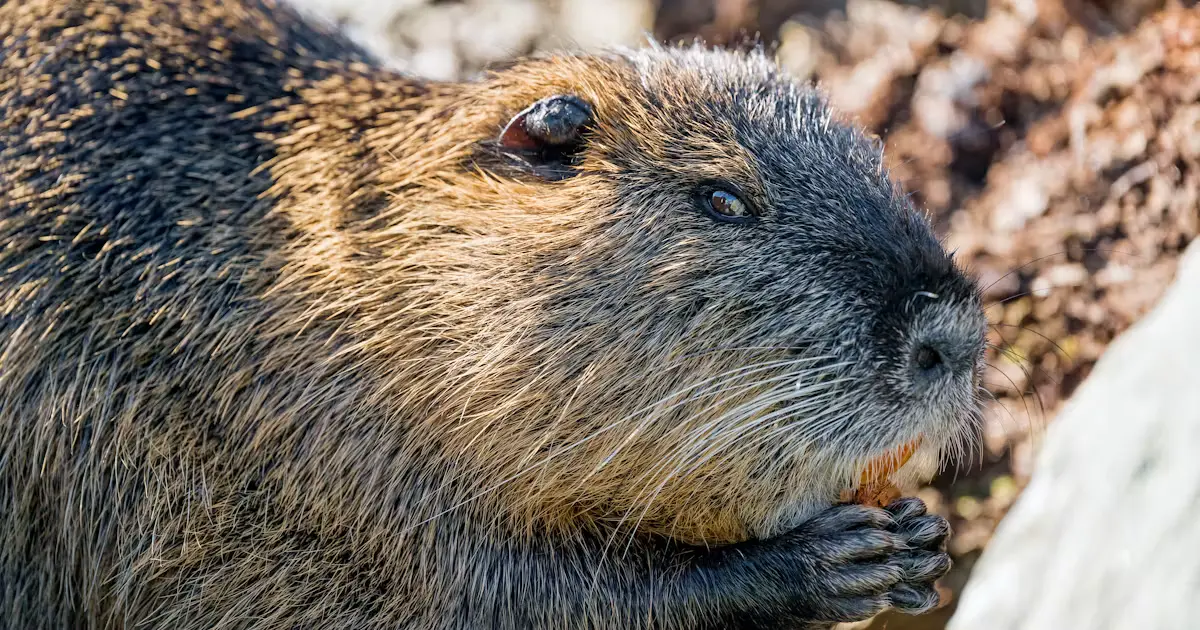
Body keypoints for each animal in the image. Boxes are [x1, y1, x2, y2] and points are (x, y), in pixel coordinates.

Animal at [0, 0, 987, 628]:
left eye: (872, 154)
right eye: (722, 199)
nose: (951, 335)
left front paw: (919, 539)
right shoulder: (301, 458)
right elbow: (511, 594)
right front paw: (840, 561)